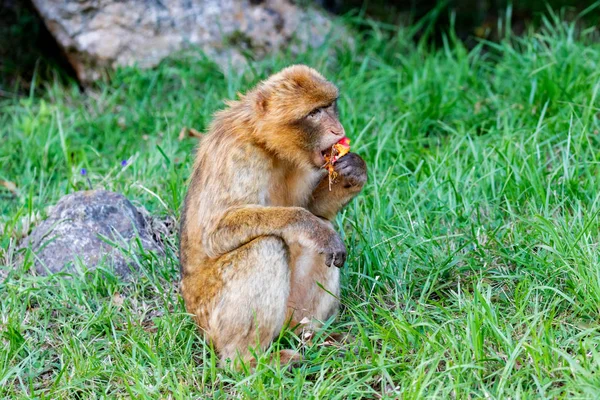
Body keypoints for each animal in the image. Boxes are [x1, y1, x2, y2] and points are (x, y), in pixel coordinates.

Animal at [178, 65, 366, 368]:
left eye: (329, 106)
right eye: (314, 113)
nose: (338, 130)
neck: (267, 143)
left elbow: (316, 209)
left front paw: (354, 170)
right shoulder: (238, 153)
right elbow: (215, 232)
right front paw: (310, 227)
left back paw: (310, 336)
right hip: (211, 318)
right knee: (266, 245)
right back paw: (248, 361)